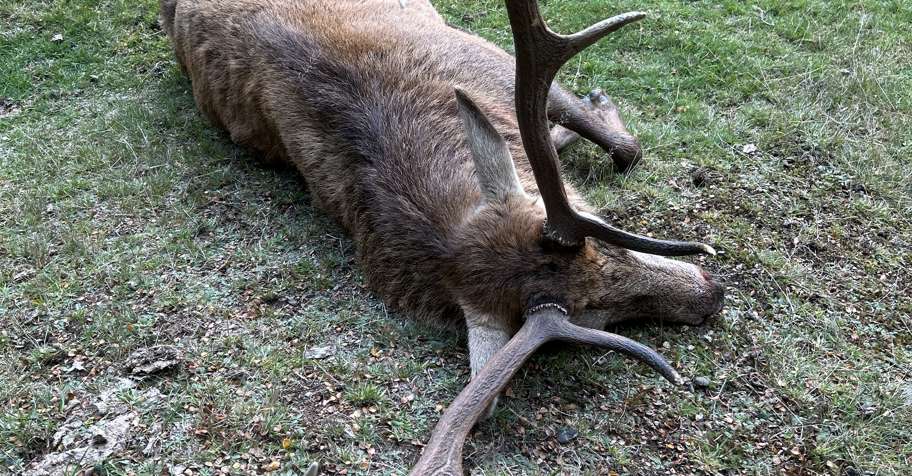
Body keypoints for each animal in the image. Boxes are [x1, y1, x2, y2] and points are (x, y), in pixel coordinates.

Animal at [159, 0, 725, 472]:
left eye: (602, 240)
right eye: (594, 315)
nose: (712, 294)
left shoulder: (488, 58)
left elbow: (615, 142)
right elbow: (624, 144)